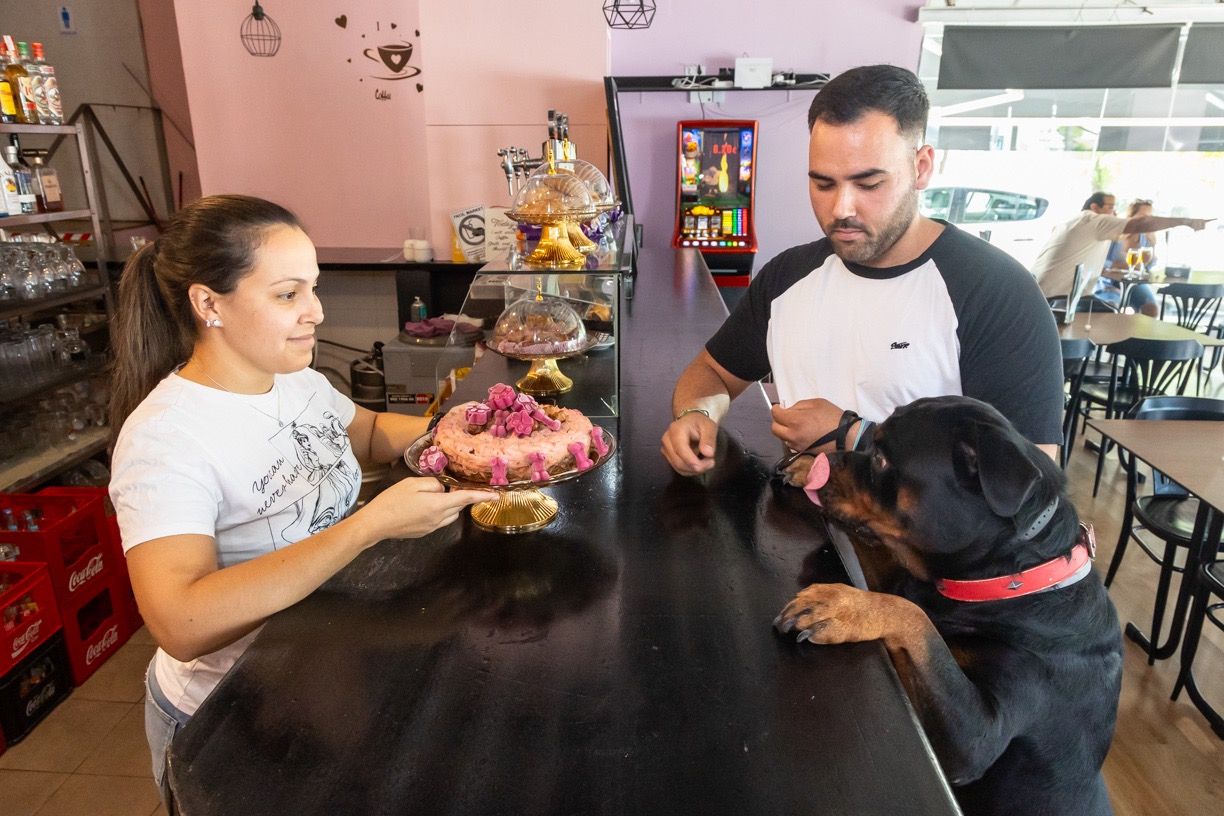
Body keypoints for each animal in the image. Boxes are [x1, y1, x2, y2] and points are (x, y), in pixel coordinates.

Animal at [778, 396, 1121, 816]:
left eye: (881, 460)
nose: (827, 461)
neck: (1011, 579)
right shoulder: (906, 574)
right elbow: (905, 593)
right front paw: (808, 463)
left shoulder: (975, 738)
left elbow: (919, 622)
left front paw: (841, 606)